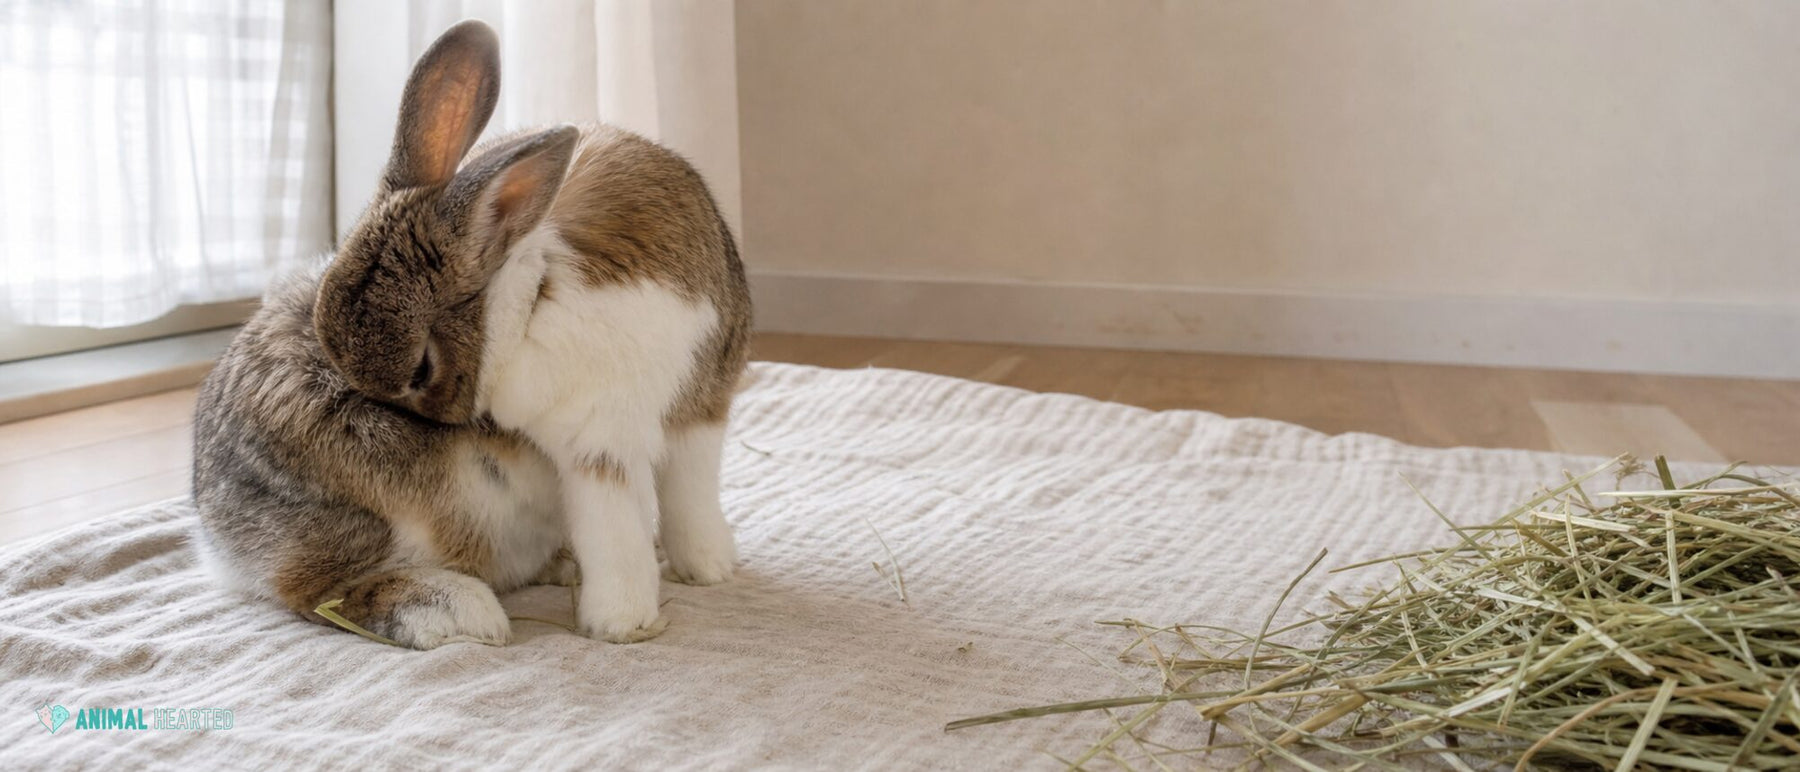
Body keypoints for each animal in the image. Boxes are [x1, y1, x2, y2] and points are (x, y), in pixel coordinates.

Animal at [193, 19, 750, 647]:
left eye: (421, 369)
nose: (435, 427)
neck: (525, 294)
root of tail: (215, 542)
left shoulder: (699, 405)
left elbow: (688, 495)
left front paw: (705, 571)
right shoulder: (597, 440)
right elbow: (615, 529)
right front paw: (624, 623)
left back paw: (558, 568)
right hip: (377, 517)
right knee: (315, 592)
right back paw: (457, 610)